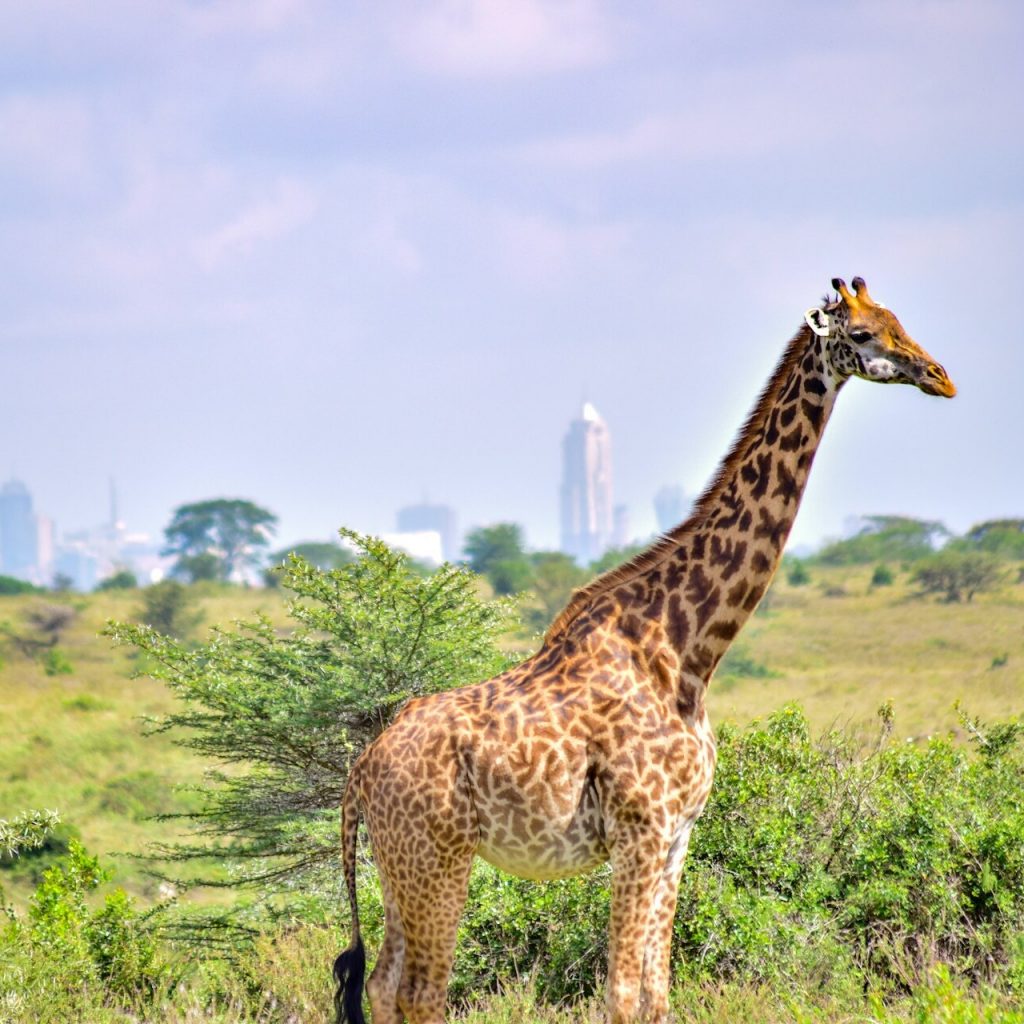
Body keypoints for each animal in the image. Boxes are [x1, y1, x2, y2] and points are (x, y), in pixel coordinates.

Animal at [332, 277, 955, 1024]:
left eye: (898, 320)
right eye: (861, 335)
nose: (941, 376)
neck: (688, 650)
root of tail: (362, 770)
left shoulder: (678, 834)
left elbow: (657, 994)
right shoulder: (641, 829)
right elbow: (624, 996)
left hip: (399, 866)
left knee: (382, 984)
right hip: (438, 856)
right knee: (422, 992)